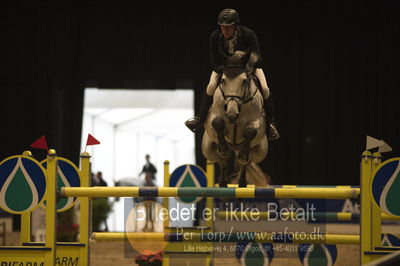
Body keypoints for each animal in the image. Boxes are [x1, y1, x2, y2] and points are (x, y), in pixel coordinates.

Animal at [202, 50, 268, 187]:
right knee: (219, 157)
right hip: (208, 150)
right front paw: (223, 150)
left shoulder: (256, 121)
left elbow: (250, 131)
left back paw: (242, 181)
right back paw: (222, 181)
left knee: (249, 159)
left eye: (244, 81)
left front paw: (243, 156)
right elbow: (217, 122)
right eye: (222, 80)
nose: (232, 114)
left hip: (260, 151)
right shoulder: (214, 116)